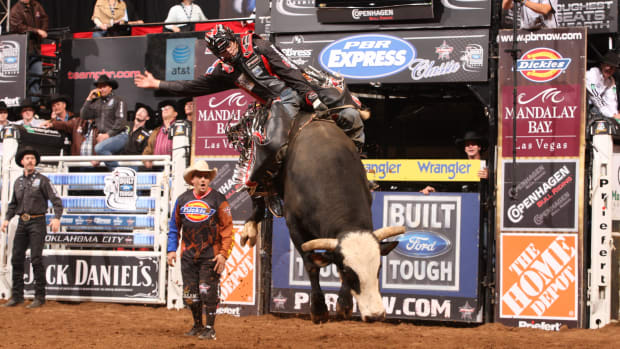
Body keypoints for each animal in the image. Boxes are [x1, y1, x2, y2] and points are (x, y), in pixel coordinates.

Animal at [235, 108, 404, 320]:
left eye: (378, 268)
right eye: (349, 272)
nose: (376, 315)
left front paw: (344, 304)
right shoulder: (295, 227)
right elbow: (311, 264)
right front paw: (318, 309)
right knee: (257, 191)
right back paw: (249, 228)